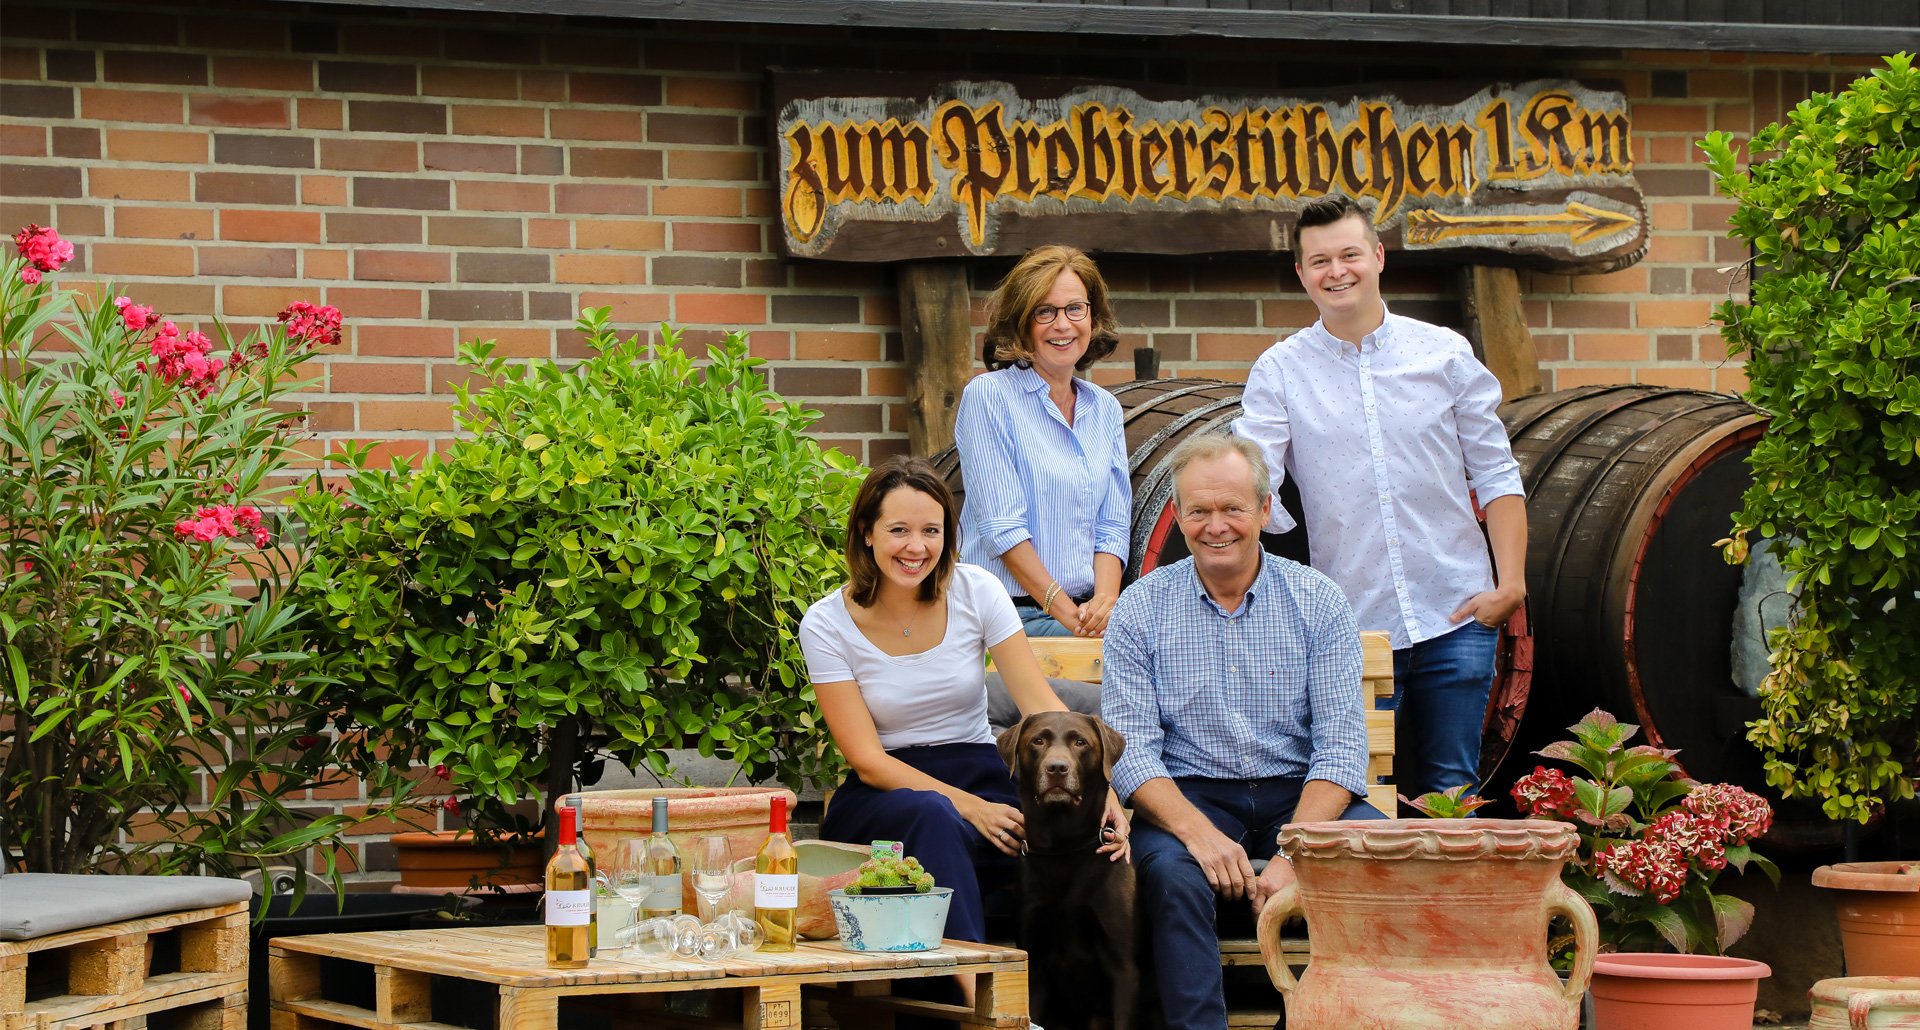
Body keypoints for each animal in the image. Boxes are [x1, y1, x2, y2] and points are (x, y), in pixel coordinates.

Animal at [990, 711, 1136, 1030]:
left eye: (1080, 742)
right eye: (1038, 741)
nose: (1057, 768)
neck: (1063, 847)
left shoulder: (1124, 966)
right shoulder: (1033, 961)